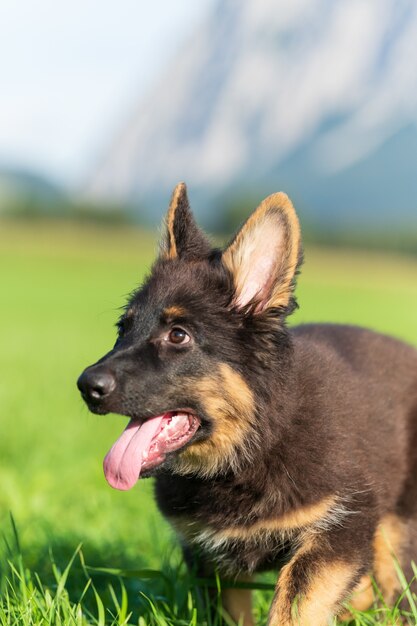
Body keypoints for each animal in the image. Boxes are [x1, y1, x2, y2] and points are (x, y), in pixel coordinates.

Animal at [77, 182, 416, 624]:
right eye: (123, 328)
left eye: (178, 335)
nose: (86, 385)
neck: (253, 445)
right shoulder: (210, 557)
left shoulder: (341, 527)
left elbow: (294, 604)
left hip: (399, 530)